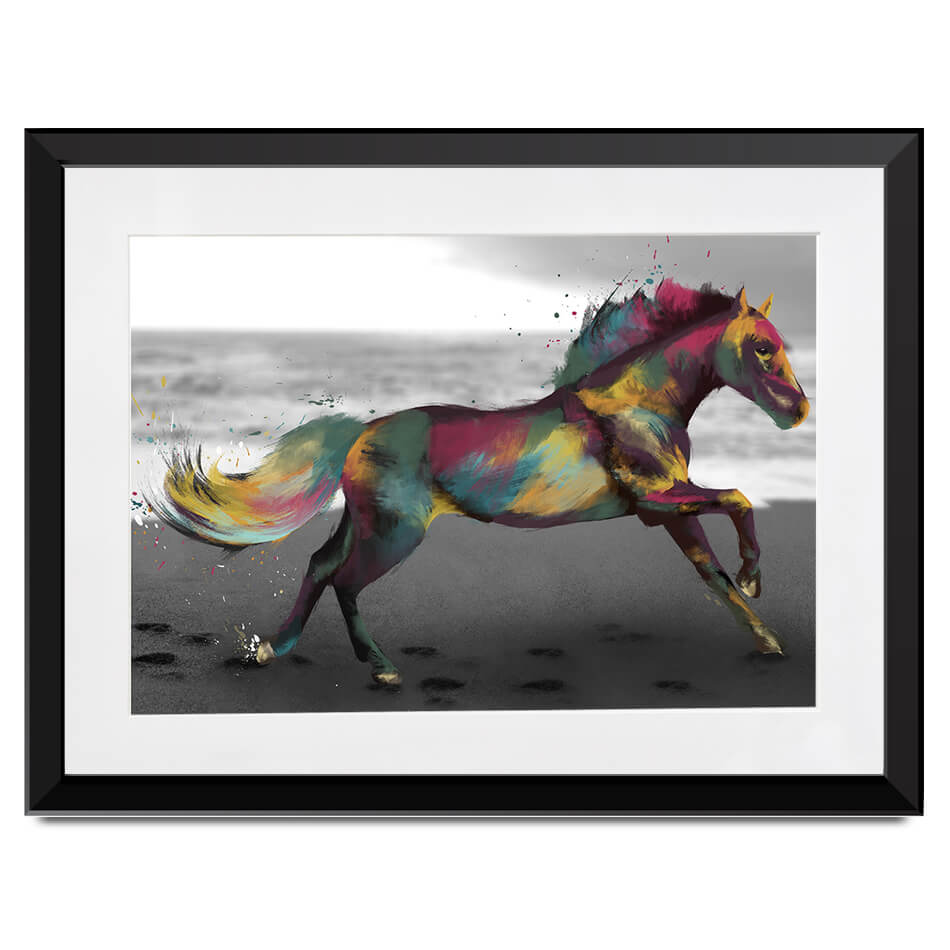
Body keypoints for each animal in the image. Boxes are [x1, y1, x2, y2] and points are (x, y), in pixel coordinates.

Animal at [151, 280, 809, 685]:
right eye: (761, 347)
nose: (798, 412)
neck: (635, 405)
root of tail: (360, 434)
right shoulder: (658, 498)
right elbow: (739, 500)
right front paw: (756, 579)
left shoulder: (664, 511)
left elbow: (713, 573)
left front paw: (766, 638)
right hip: (396, 534)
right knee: (345, 582)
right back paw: (381, 667)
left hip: (367, 523)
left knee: (318, 566)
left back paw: (273, 649)